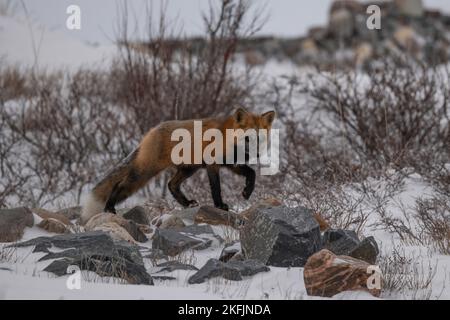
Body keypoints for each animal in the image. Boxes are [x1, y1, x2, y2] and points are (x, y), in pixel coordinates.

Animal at [81, 107, 278, 225]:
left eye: (260, 139)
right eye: (248, 138)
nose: (257, 154)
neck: (228, 139)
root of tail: (151, 131)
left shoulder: (230, 163)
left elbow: (251, 173)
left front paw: (247, 192)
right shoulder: (213, 164)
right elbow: (216, 188)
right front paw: (220, 205)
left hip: (189, 168)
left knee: (171, 184)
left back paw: (186, 203)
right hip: (146, 172)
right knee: (119, 184)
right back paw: (109, 207)